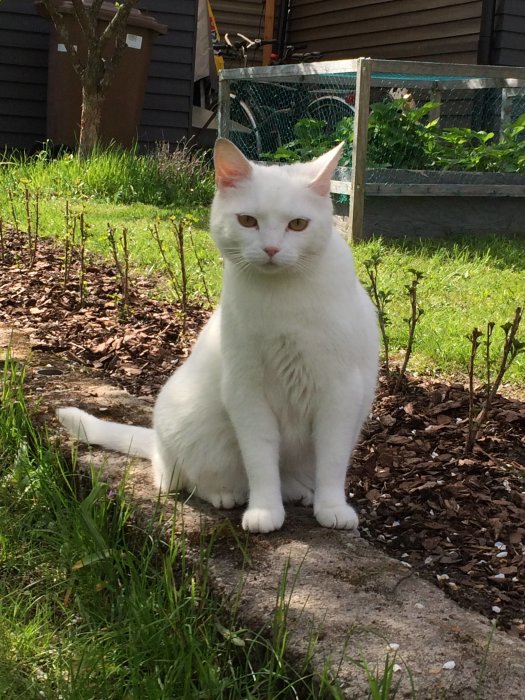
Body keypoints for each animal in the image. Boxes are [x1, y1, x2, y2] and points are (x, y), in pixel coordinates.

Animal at [58, 137, 376, 532]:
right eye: (248, 221)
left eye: (298, 224)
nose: (271, 249)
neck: (282, 299)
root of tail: (157, 442)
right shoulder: (246, 391)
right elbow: (260, 460)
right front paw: (264, 510)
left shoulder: (341, 392)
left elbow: (332, 461)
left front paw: (332, 507)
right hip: (186, 437)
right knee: (179, 479)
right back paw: (227, 493)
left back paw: (299, 489)